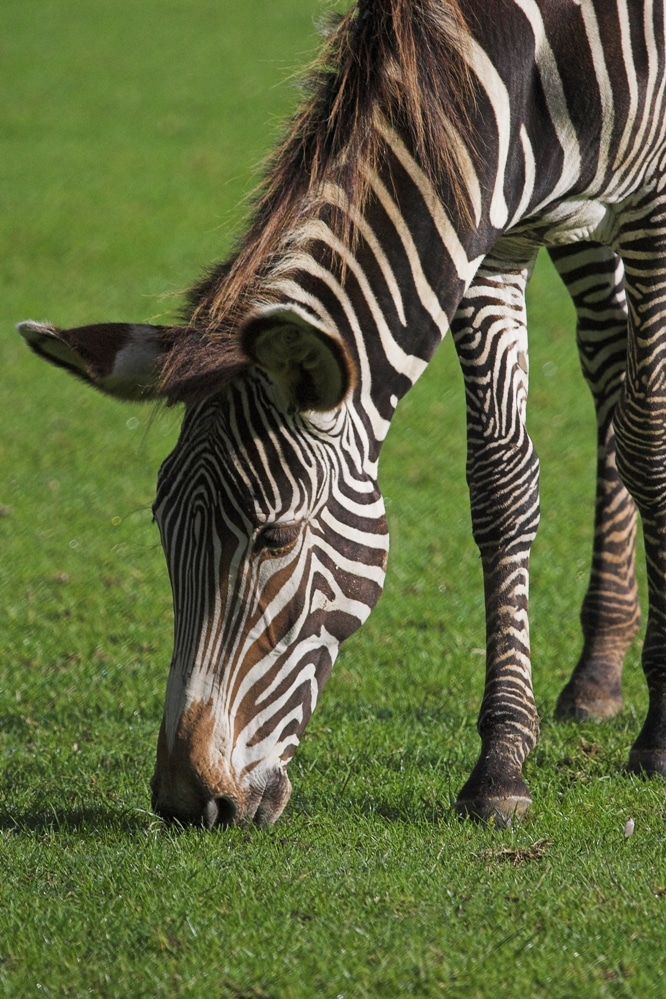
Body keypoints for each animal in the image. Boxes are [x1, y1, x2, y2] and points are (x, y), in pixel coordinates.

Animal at [15, 0, 664, 828]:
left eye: (276, 537)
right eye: (162, 529)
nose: (188, 801)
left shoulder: (652, 203)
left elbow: (652, 444)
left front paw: (660, 733)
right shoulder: (490, 227)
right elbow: (503, 483)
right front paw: (502, 762)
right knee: (608, 354)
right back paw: (600, 664)